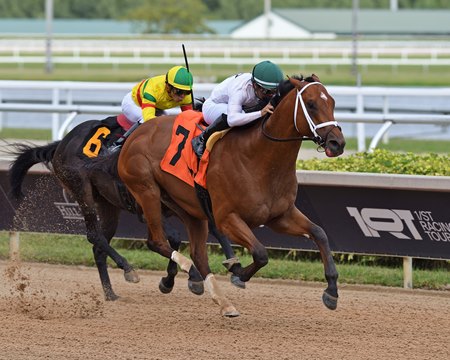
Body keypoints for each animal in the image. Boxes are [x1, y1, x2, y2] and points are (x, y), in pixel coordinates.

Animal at [8, 115, 241, 300]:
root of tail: (61, 143)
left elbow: (215, 229)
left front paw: (235, 268)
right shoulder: (146, 208)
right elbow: (174, 238)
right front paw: (176, 280)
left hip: (108, 204)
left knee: (98, 246)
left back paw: (110, 293)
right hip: (82, 190)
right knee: (94, 235)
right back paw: (128, 269)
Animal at [118, 74, 346, 316]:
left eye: (332, 102)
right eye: (311, 104)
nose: (337, 143)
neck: (258, 157)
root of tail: (137, 132)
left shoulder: (280, 216)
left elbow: (319, 233)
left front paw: (332, 291)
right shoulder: (227, 218)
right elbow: (261, 253)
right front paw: (238, 272)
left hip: (188, 208)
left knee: (198, 254)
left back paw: (221, 300)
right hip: (147, 191)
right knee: (157, 241)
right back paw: (189, 272)